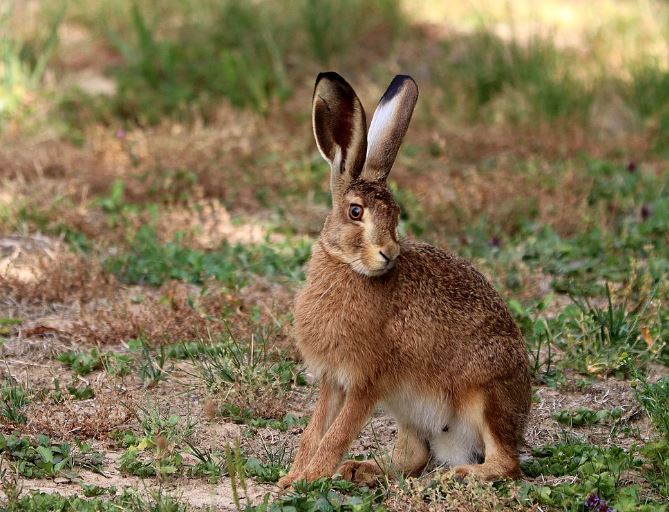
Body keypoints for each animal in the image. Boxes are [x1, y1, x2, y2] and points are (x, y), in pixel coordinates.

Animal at [277, 72, 531, 489]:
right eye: (355, 212)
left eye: (396, 214)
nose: (389, 254)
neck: (349, 268)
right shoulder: (334, 380)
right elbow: (315, 430)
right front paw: (293, 476)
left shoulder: (367, 381)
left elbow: (336, 434)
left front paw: (306, 480)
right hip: (410, 413)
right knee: (413, 459)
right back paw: (361, 470)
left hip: (485, 394)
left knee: (506, 463)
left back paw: (458, 475)